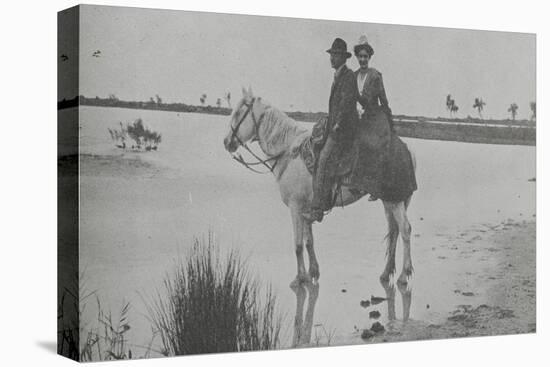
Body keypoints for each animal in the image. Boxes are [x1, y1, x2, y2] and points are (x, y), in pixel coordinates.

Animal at [224, 88, 418, 284]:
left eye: (238, 112)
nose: (226, 142)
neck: (288, 152)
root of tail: (408, 149)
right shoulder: (306, 208)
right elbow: (309, 241)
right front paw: (313, 272)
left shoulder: (295, 207)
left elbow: (298, 244)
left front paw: (300, 277)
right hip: (390, 201)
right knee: (394, 231)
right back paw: (386, 273)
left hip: (395, 200)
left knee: (405, 230)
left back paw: (404, 275)